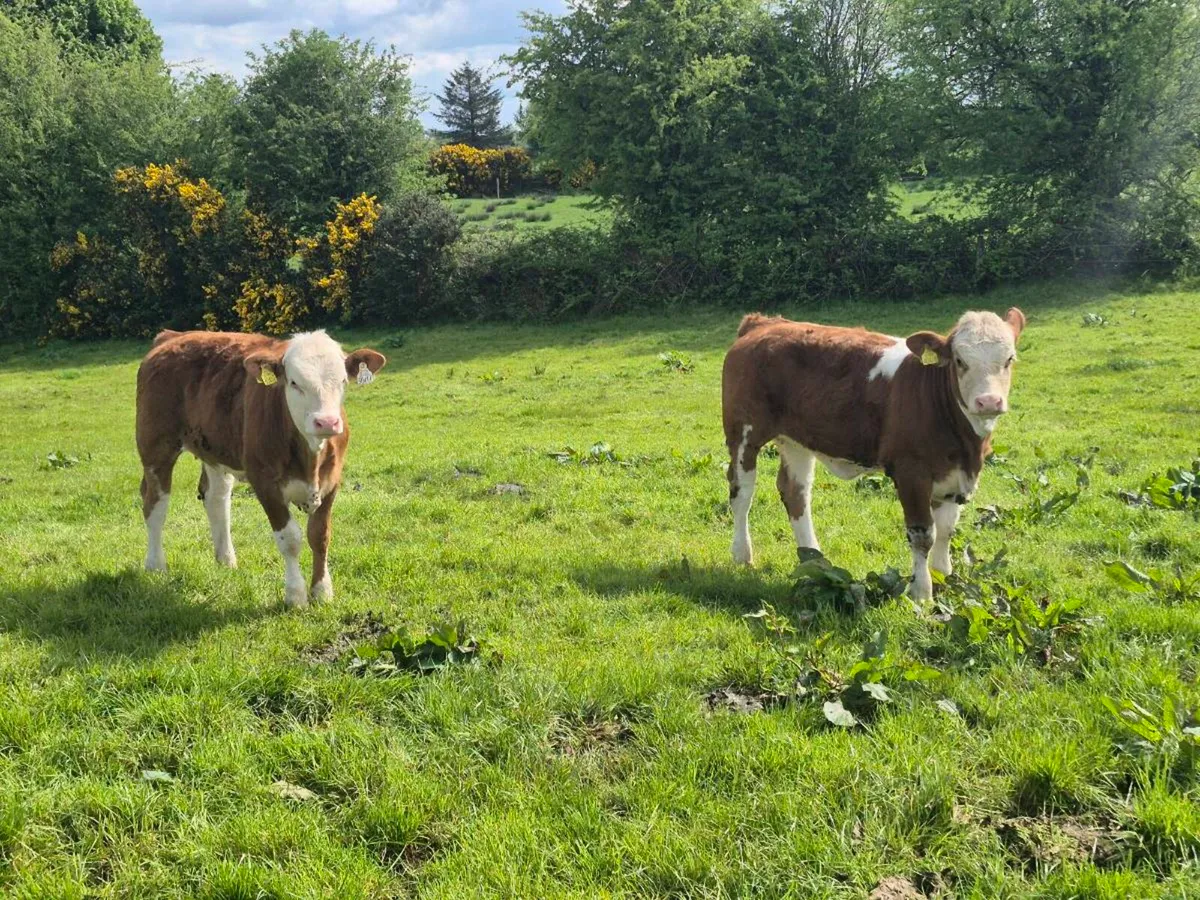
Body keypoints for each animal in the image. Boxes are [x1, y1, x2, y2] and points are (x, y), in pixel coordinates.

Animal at [135, 329, 386, 608]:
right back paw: (156, 565)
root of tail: (172, 336)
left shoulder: (332, 480)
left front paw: (322, 591)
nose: (327, 422)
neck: (310, 456)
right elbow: (290, 539)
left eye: (343, 381)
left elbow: (320, 535)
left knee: (216, 499)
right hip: (156, 445)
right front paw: (295, 595)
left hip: (215, 449)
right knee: (155, 504)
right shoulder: (265, 484)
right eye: (294, 383)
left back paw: (226, 560)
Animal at [721, 307, 1025, 601]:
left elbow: (947, 529)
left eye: (1009, 359)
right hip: (743, 432)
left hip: (796, 440)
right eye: (960, 361)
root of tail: (764, 323)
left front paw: (942, 577)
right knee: (742, 493)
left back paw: (814, 559)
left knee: (795, 492)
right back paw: (742, 554)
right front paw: (922, 593)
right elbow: (923, 534)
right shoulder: (911, 472)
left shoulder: (955, 474)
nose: (989, 402)